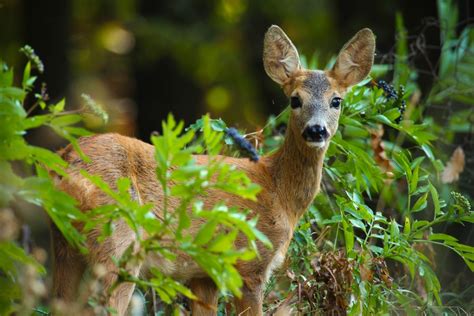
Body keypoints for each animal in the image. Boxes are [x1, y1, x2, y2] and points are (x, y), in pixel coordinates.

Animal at [51, 25, 376, 314]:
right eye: (295, 99)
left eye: (336, 100)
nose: (316, 130)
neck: (278, 193)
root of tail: (65, 162)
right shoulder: (248, 262)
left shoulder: (204, 274)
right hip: (118, 242)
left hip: (67, 245)